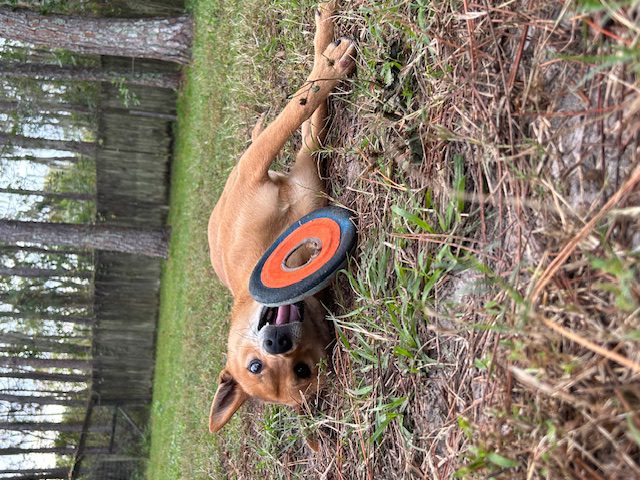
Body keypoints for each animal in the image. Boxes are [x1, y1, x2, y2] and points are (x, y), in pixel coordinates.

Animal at [206, 0, 352, 434]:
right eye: (302, 370)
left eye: (255, 364)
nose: (277, 342)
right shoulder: (304, 165)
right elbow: (305, 108)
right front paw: (330, 56)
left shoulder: (263, 167)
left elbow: (302, 104)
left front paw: (328, 50)